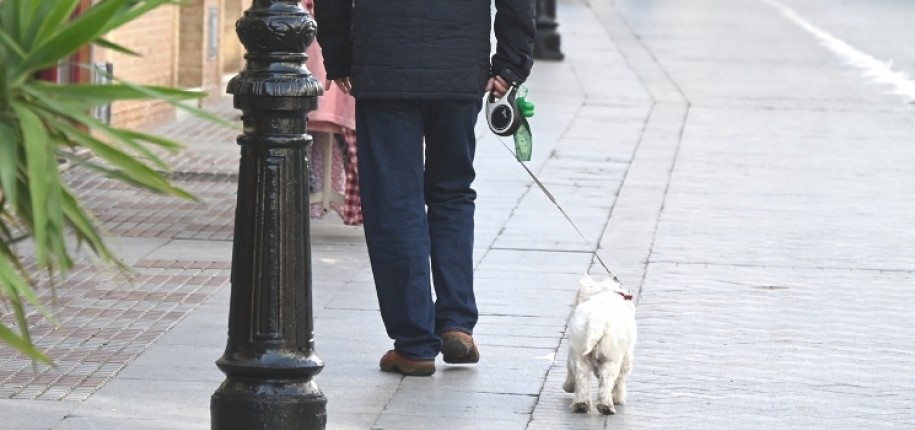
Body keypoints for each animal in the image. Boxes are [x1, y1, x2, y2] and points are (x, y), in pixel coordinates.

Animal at [560, 274, 632, 414]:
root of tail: (596, 320)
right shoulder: (627, 355)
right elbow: (621, 378)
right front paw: (618, 398)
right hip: (611, 357)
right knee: (607, 380)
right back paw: (606, 406)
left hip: (580, 349)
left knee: (582, 376)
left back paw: (581, 404)